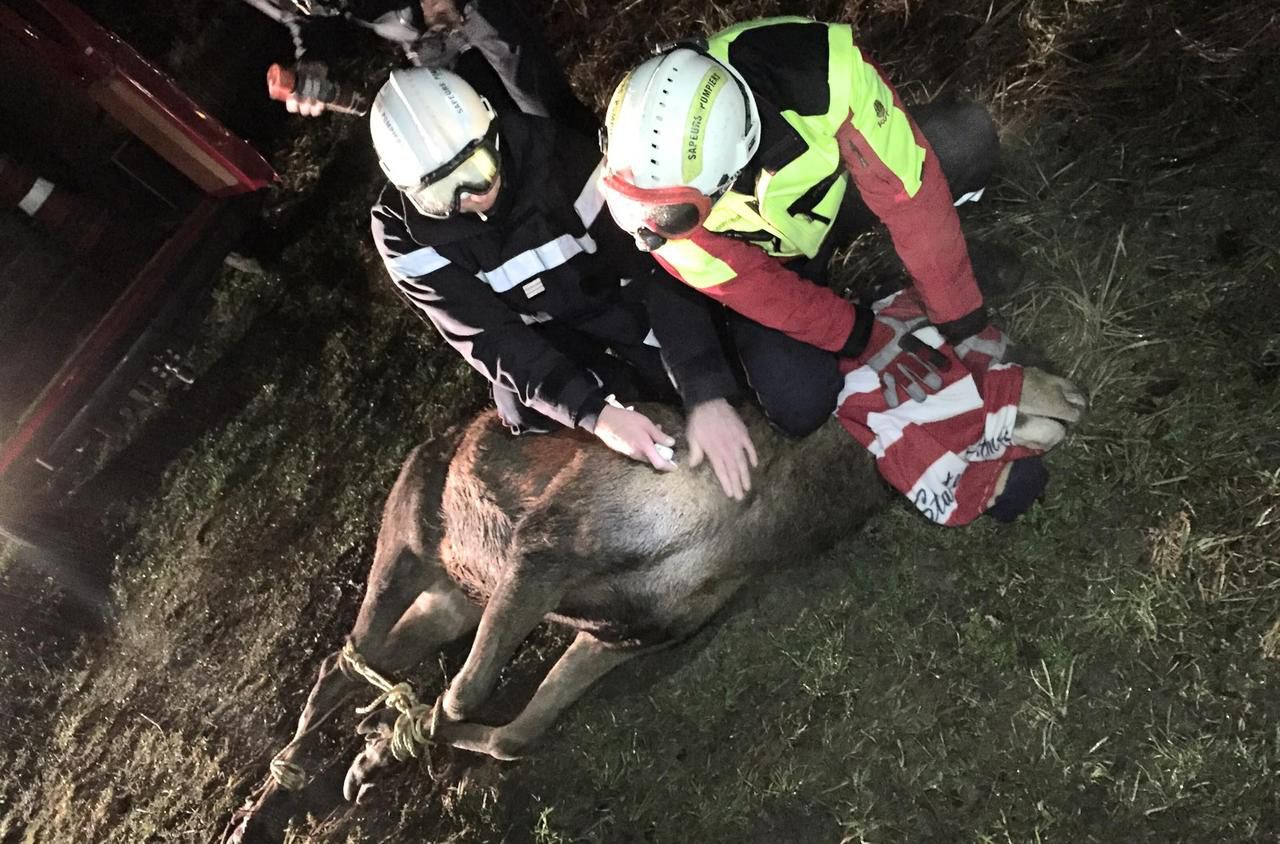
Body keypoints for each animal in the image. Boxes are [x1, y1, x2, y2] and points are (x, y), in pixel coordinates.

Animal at [225, 363, 1085, 844]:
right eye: (941, 368)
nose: (1070, 391)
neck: (756, 524)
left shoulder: (624, 631)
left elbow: (511, 735)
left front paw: (378, 750)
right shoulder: (546, 546)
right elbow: (465, 695)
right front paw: (378, 748)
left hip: (454, 602)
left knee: (357, 669)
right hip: (403, 555)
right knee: (337, 667)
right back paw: (261, 806)